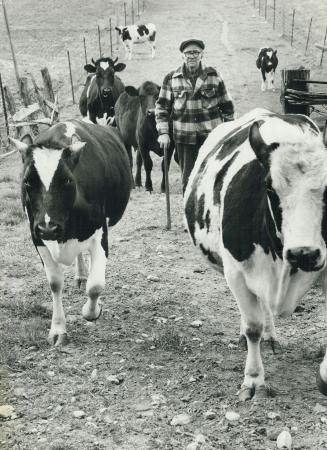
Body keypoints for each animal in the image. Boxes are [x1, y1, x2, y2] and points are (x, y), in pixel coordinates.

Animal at [10, 118, 133, 344]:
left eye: (67, 180)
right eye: (27, 181)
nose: (48, 227)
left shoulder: (100, 233)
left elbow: (95, 285)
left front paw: (91, 311)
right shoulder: (37, 237)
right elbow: (55, 283)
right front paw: (58, 329)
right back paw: (81, 274)